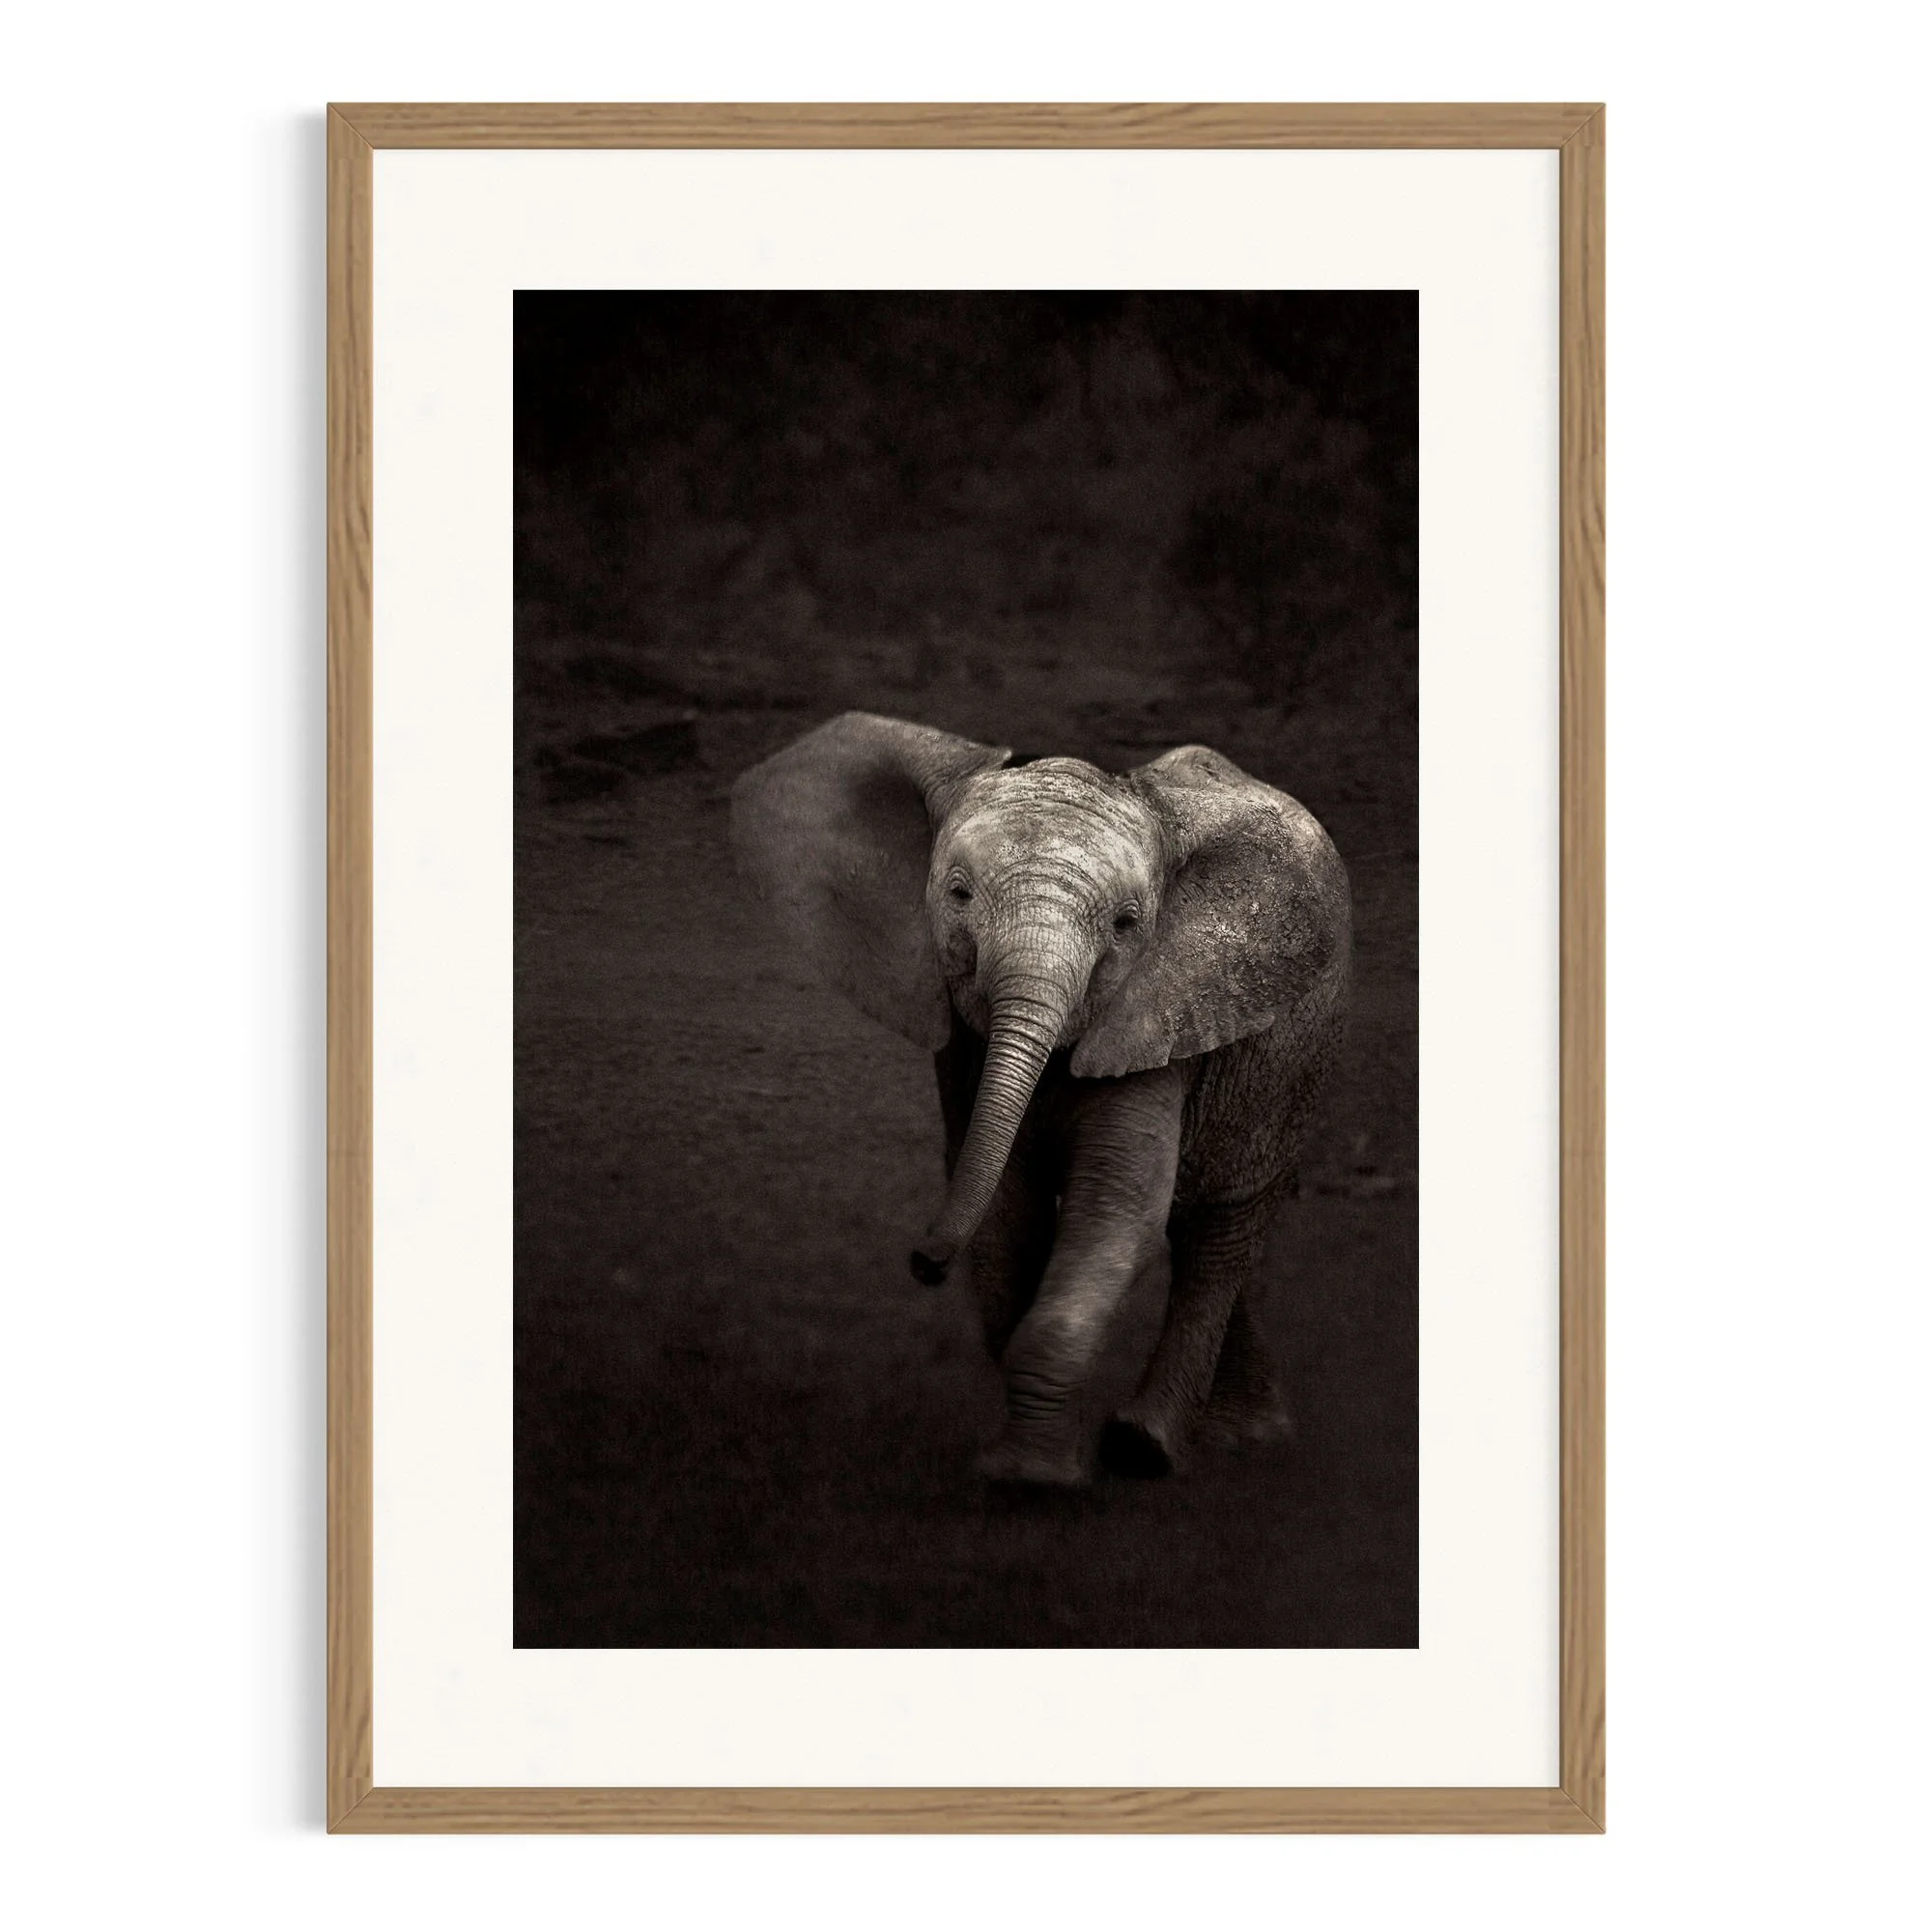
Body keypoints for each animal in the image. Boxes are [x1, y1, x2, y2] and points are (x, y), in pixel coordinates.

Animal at [730, 711, 1351, 1487]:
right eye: (959, 894)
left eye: (1126, 924)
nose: (924, 1265)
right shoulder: (968, 1049)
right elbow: (1006, 1209)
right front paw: (1031, 1461)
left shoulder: (1152, 1010)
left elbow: (1113, 1213)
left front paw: (1034, 1477)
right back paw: (1239, 1435)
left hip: (1292, 1062)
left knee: (1222, 1230)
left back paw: (1154, 1447)